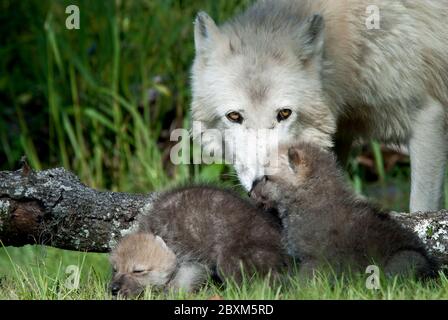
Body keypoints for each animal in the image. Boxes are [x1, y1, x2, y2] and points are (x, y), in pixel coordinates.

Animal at [190, 0, 448, 212]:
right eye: (234, 116)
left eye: (284, 113)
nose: (263, 182)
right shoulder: (339, 137)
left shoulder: (428, 118)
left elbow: (421, 208)